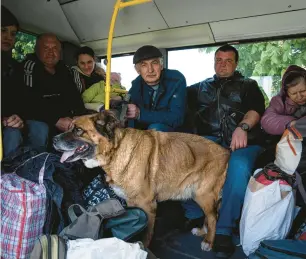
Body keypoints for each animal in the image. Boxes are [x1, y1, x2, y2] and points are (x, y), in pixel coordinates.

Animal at [53, 110, 230, 252]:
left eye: (78, 130)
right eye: (69, 127)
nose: (54, 139)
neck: (116, 150)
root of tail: (226, 152)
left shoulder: (147, 205)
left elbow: (146, 234)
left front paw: (143, 247)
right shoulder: (131, 202)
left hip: (203, 195)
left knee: (213, 217)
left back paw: (208, 241)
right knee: (210, 216)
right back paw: (202, 231)